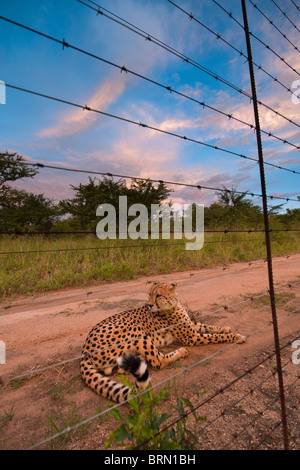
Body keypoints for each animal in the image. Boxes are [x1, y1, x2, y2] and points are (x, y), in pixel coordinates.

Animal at [80, 280, 246, 402]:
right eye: (149, 295)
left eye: (158, 295)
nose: (149, 305)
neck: (173, 305)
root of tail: (84, 350)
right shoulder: (191, 338)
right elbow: (213, 336)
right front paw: (237, 337)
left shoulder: (191, 327)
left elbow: (206, 326)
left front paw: (225, 328)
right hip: (136, 329)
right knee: (158, 361)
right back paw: (180, 352)